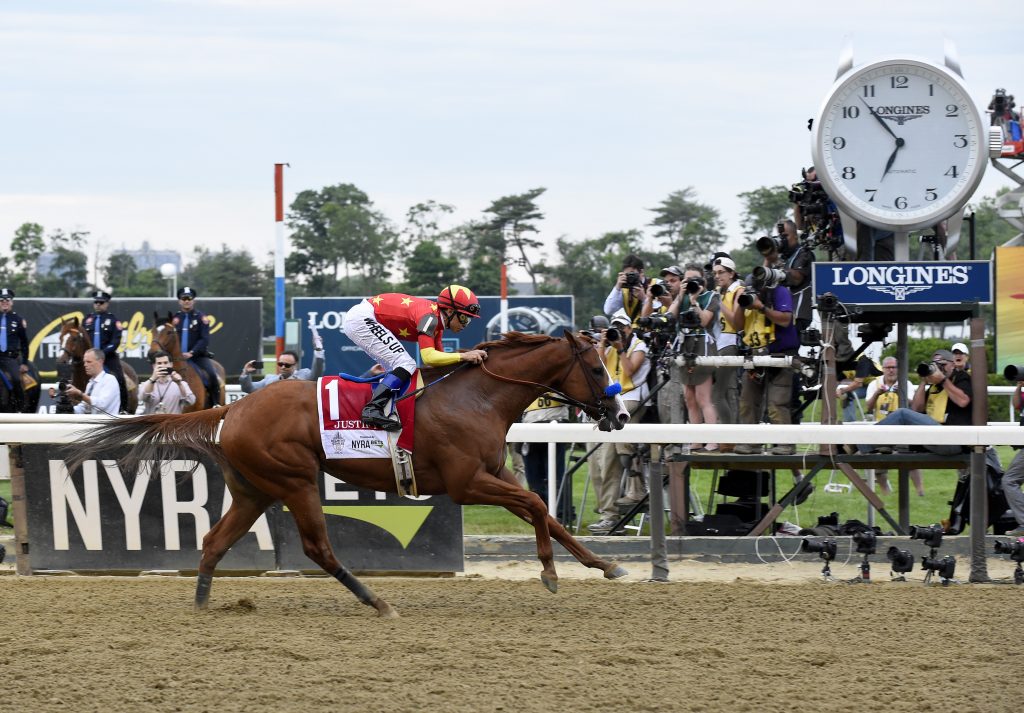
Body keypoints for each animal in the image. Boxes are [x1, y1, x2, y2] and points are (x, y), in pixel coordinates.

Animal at [66, 333, 630, 618]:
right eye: (596, 368)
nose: (620, 415)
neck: (476, 398)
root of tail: (232, 407)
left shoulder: (493, 474)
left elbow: (545, 512)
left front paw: (605, 565)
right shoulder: (465, 483)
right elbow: (536, 506)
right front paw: (550, 573)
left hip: (253, 490)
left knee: (214, 540)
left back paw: (204, 604)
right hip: (293, 479)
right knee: (317, 548)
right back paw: (376, 601)